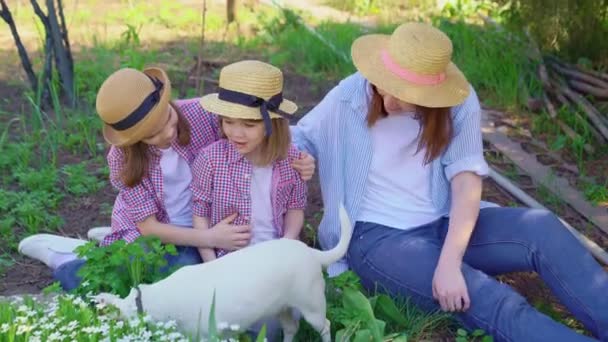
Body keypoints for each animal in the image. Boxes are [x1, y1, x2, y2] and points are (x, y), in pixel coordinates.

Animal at [94, 204, 352, 340]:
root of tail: (312, 253)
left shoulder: (210, 333)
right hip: (282, 307)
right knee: (291, 328)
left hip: (312, 306)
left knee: (325, 325)